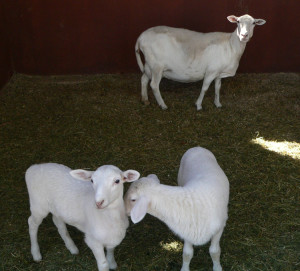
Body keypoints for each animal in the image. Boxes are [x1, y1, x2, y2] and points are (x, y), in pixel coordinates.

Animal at [135, 14, 266, 110]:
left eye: (254, 23)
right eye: (238, 22)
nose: (244, 35)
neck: (231, 45)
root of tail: (140, 38)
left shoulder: (218, 72)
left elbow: (217, 88)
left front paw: (217, 104)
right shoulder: (211, 71)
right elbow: (205, 88)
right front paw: (198, 105)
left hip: (149, 64)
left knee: (144, 79)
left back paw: (145, 100)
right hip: (157, 66)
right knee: (154, 85)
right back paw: (163, 105)